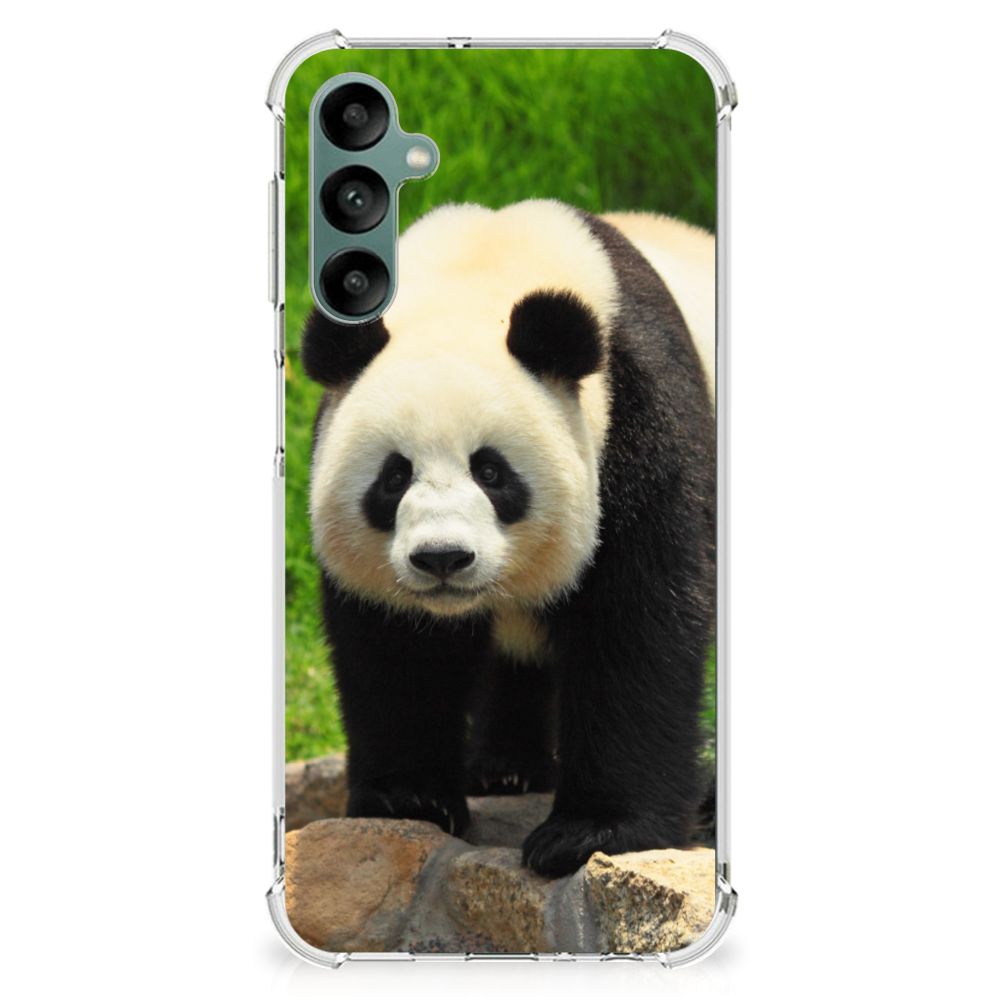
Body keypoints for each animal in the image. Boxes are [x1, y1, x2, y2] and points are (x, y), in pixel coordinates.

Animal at [301, 199, 716, 878]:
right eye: (394, 477)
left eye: (491, 472)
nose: (442, 558)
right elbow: (397, 648)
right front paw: (408, 799)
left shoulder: (640, 418)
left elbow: (638, 621)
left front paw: (590, 832)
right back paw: (505, 769)